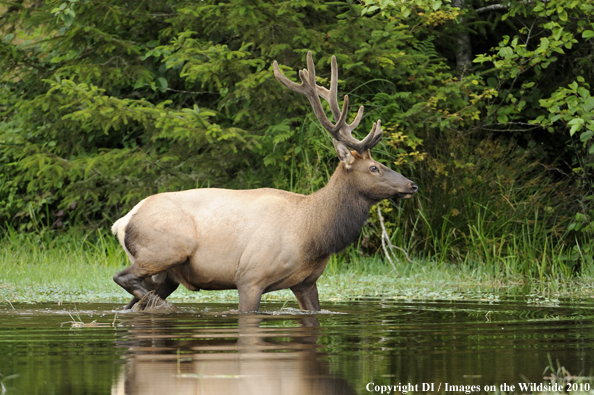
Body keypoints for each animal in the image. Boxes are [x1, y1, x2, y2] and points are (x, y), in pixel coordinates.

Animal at [111, 51, 416, 312]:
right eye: (375, 168)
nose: (412, 185)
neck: (313, 235)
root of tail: (122, 222)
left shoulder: (306, 282)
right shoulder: (250, 276)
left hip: (166, 275)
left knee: (132, 302)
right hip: (166, 249)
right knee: (122, 277)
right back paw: (163, 306)